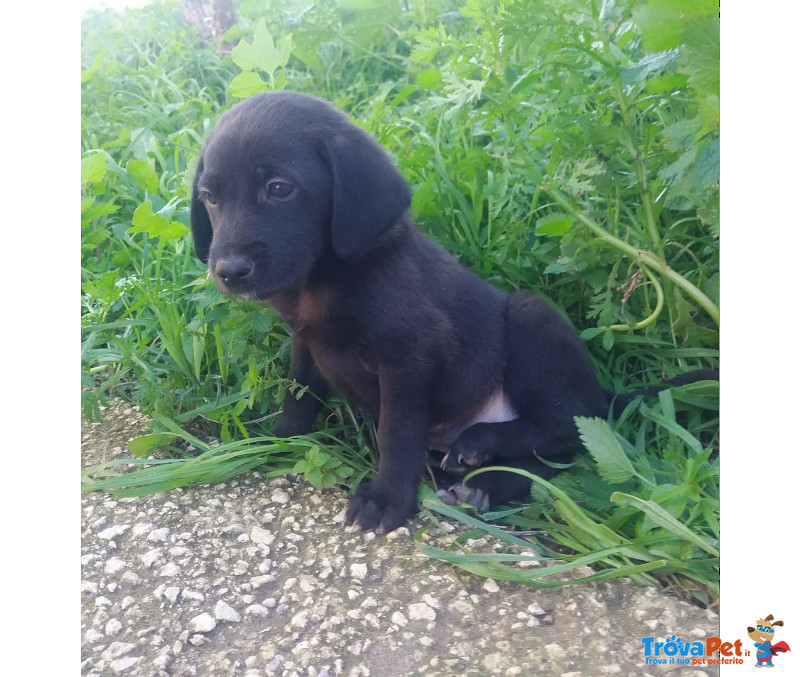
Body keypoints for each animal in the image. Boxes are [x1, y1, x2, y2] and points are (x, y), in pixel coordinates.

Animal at [191, 91, 716, 532]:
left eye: (279, 188)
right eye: (209, 197)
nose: (228, 271)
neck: (322, 278)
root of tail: (603, 391)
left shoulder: (409, 355)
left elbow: (396, 433)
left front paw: (387, 499)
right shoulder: (306, 341)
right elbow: (298, 396)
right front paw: (275, 441)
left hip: (532, 318)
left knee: (569, 426)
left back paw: (479, 445)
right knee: (551, 457)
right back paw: (485, 483)